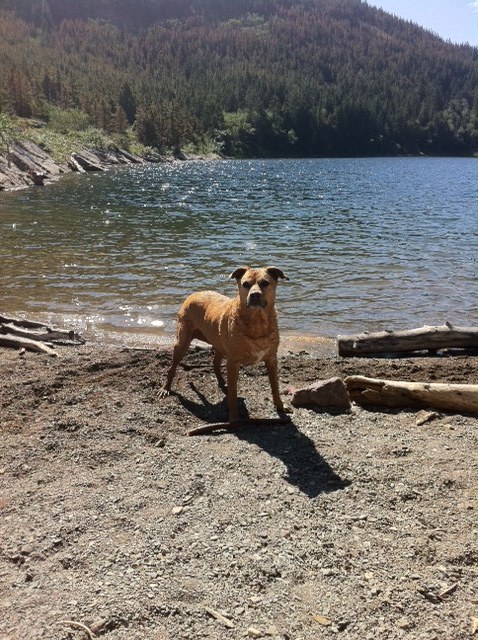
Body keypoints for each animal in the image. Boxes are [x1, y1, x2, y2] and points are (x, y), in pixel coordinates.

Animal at [158, 266, 291, 423]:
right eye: (245, 284)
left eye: (265, 283)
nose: (254, 295)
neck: (257, 322)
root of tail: (194, 294)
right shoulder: (233, 362)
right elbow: (233, 393)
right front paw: (233, 418)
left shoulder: (271, 359)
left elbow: (275, 386)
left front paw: (280, 406)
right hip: (182, 342)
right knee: (172, 368)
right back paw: (166, 388)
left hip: (219, 342)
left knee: (215, 363)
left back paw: (222, 382)